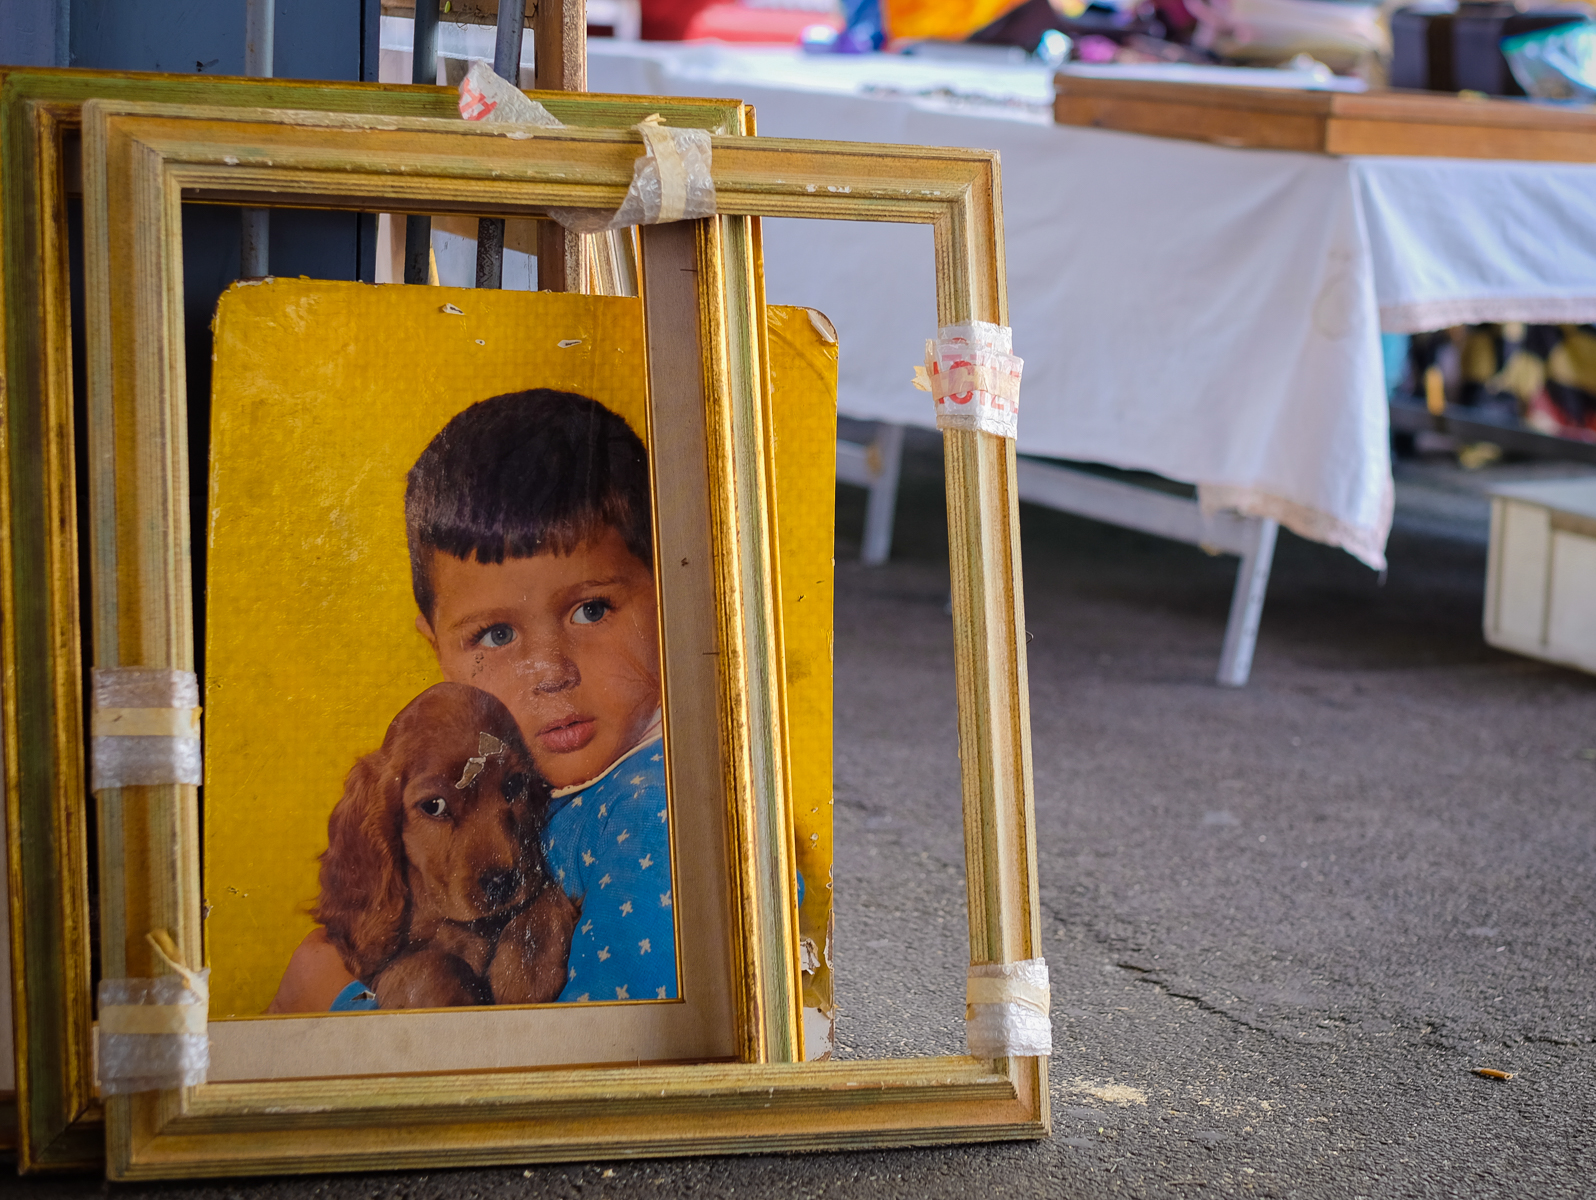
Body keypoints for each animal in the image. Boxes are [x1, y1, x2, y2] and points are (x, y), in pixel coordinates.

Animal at [314, 679, 577, 1008]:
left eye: (515, 784)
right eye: (434, 806)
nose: (501, 883)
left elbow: (543, 893)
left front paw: (528, 969)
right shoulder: (384, 968)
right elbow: (433, 966)